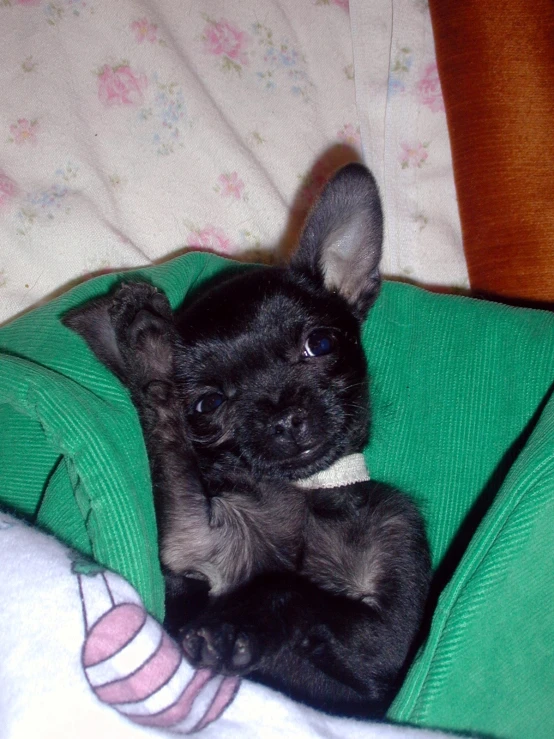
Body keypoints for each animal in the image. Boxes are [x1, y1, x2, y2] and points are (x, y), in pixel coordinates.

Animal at [63, 165, 426, 720]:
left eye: (320, 344)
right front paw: (146, 340)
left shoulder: (392, 638)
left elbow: (292, 592)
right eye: (207, 405)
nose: (282, 417)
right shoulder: (191, 541)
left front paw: (237, 625)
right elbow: (166, 437)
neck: (306, 494)